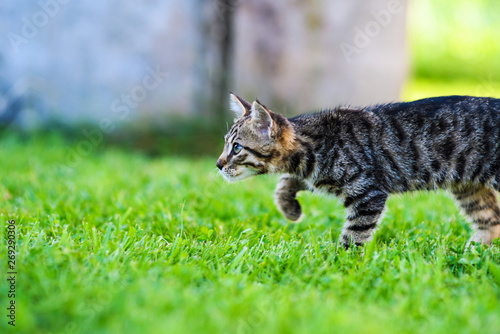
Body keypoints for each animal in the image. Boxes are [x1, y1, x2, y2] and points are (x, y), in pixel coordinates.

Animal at [217, 92, 500, 247]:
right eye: (225, 144)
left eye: (237, 148)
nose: (218, 164)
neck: (313, 144)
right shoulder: (311, 174)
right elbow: (286, 182)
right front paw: (290, 208)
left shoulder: (368, 193)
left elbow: (355, 233)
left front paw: (341, 264)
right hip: (468, 187)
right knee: (491, 221)